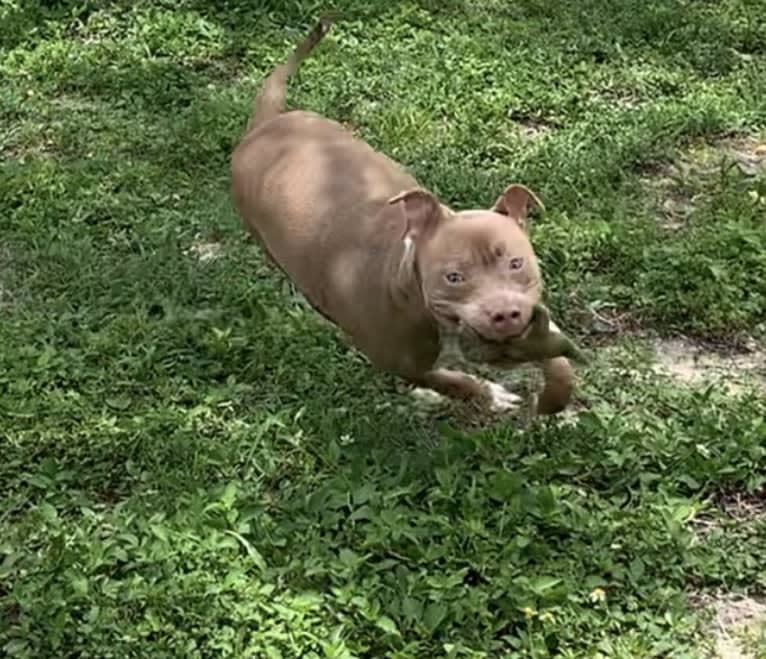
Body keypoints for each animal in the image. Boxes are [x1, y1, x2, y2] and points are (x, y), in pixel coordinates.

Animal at [231, 16, 572, 412]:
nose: (504, 314)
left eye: (517, 263)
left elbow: (557, 356)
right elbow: (447, 379)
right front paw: (487, 394)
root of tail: (262, 127)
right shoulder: (400, 362)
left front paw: (555, 395)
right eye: (453, 277)